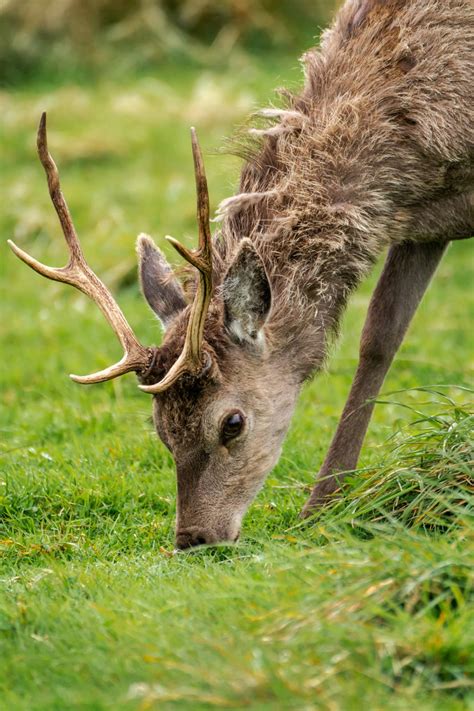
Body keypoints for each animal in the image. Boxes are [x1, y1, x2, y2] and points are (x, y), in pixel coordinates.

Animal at [9, 0, 472, 552]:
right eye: (161, 428)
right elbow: (380, 338)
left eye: (232, 423)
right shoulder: (420, 222)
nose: (193, 537)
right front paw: (323, 503)